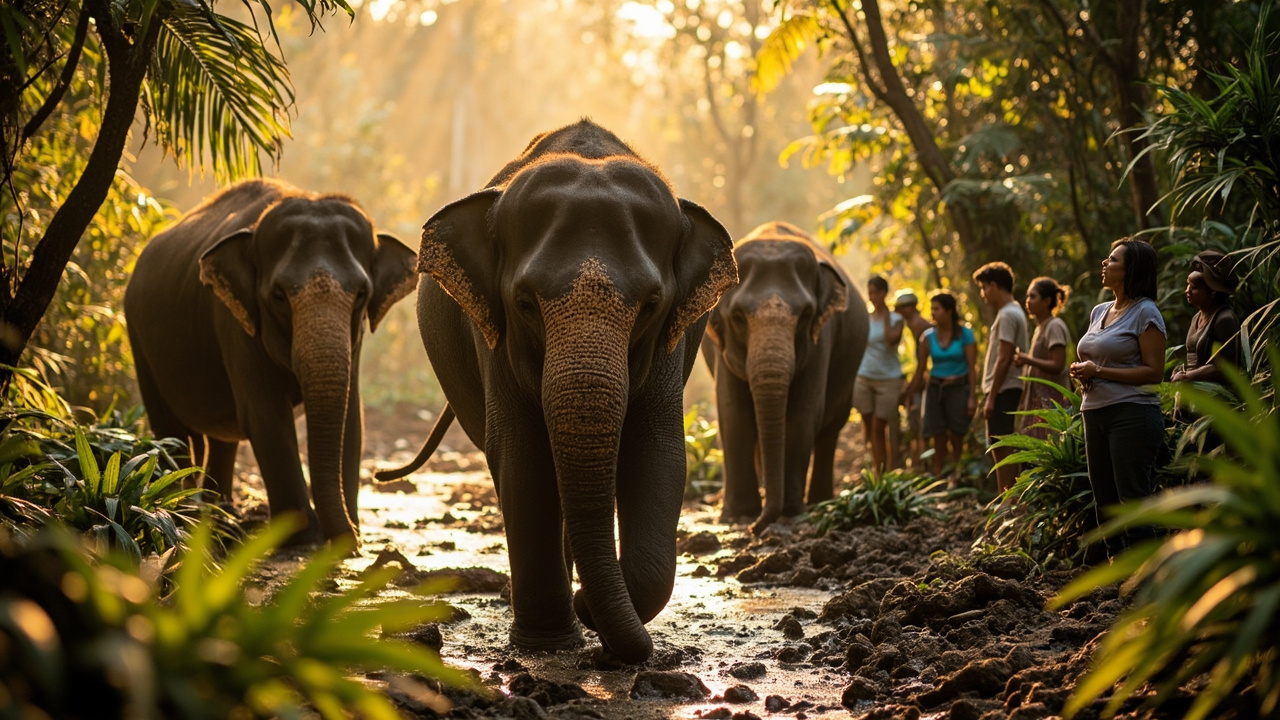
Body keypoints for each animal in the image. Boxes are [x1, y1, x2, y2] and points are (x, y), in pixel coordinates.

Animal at [124, 178, 417, 547]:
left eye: (362, 294)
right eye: (279, 296)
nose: (355, 540)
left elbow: (353, 417)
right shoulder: (234, 321)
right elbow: (265, 415)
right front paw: (303, 535)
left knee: (220, 438)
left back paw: (221, 513)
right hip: (138, 337)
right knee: (171, 430)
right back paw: (188, 512)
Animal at [410, 120, 736, 664]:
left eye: (651, 305)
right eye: (524, 303)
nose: (588, 603)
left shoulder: (673, 340)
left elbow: (660, 451)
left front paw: (589, 615)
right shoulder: (494, 335)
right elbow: (521, 454)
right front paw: (549, 644)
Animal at [701, 221, 868, 535]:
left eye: (805, 315)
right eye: (738, 317)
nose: (756, 529)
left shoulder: (820, 338)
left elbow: (803, 414)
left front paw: (790, 515)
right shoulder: (721, 352)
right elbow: (733, 414)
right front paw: (739, 517)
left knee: (831, 430)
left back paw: (820, 503)